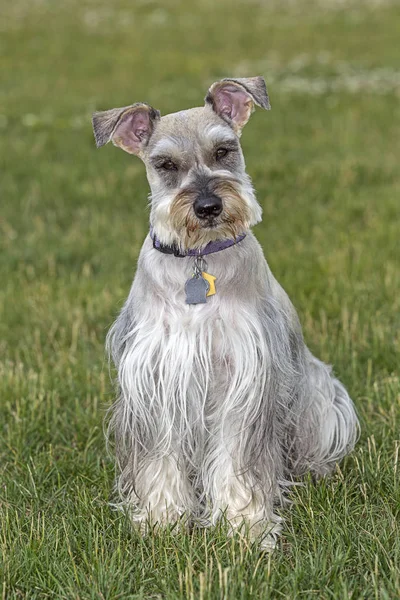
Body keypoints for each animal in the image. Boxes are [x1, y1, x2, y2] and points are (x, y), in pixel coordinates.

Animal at [92, 77, 358, 552]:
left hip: (321, 394)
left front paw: (245, 528)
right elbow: (160, 458)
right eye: (165, 164)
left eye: (224, 150)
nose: (208, 206)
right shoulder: (157, 377)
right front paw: (163, 520)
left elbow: (238, 460)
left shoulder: (245, 375)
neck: (198, 261)